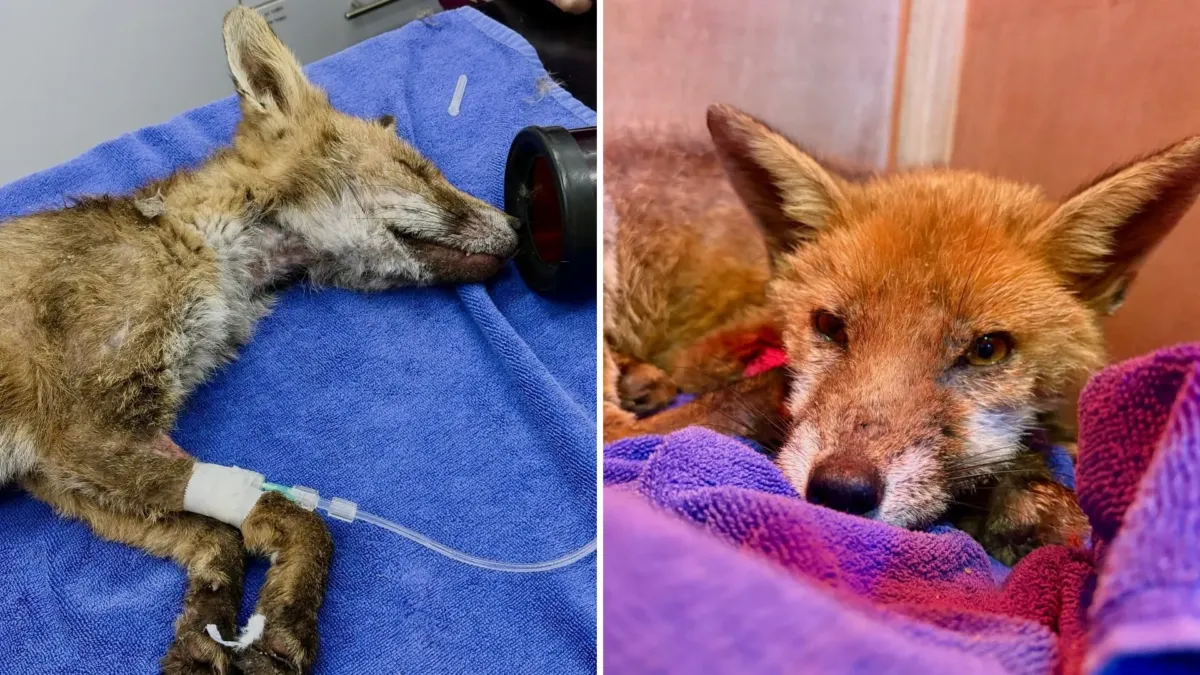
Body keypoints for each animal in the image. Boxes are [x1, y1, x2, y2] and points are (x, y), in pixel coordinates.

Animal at [0, 7, 517, 675]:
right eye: (419, 173)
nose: (521, 225)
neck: (198, 241)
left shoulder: (60, 475)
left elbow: (217, 534)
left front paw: (204, 632)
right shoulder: (87, 433)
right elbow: (298, 519)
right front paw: (283, 630)